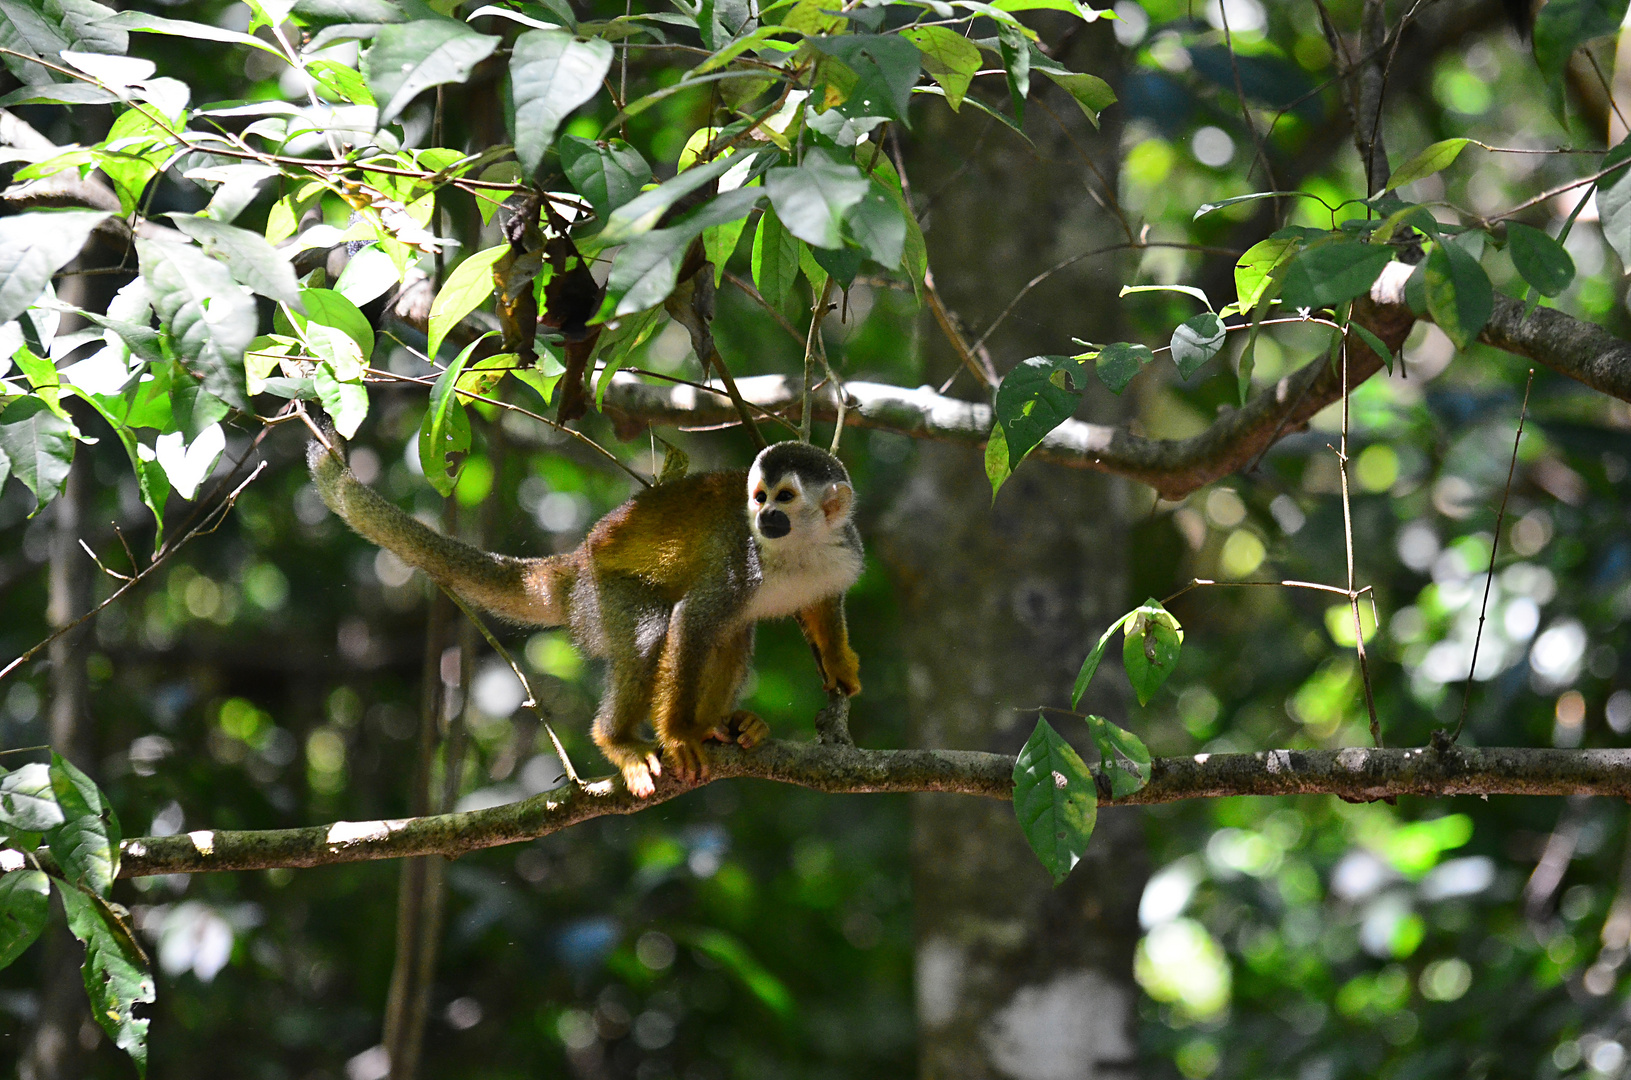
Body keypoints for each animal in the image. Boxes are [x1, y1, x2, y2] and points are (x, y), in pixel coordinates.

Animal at [308, 437, 867, 799]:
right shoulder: (740, 560)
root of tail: (577, 561)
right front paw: (677, 735)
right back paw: (623, 739)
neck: (796, 550)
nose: (766, 517)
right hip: (603, 597)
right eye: (759, 497)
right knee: (654, 632)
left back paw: (718, 725)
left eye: (785, 497)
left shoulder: (843, 552)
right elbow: (691, 622)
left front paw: (838, 661)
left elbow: (822, 604)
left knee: (731, 635)